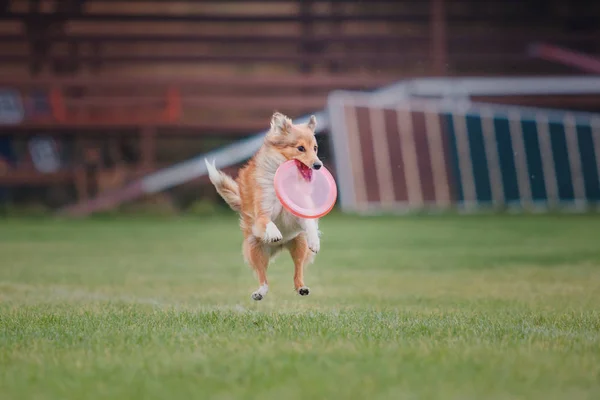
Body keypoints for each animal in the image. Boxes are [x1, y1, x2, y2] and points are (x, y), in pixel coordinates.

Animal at [204, 111, 324, 300]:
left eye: (315, 148)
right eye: (300, 148)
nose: (318, 165)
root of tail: (280, 247)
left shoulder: (300, 210)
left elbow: (310, 223)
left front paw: (315, 241)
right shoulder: (262, 212)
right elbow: (266, 221)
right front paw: (274, 232)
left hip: (299, 244)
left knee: (298, 270)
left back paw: (302, 288)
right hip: (255, 248)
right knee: (263, 276)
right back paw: (259, 292)